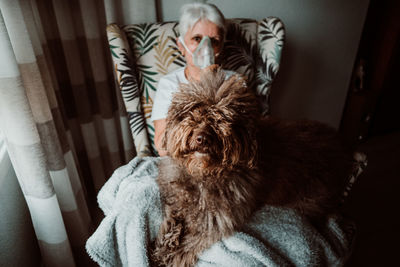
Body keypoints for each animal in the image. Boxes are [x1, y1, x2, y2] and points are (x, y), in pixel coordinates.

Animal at [152, 67, 354, 267]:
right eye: (194, 110)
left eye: (223, 118)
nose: (202, 138)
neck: (204, 173)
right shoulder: (177, 200)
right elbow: (172, 215)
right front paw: (165, 241)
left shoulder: (217, 220)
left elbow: (192, 240)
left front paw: (171, 256)